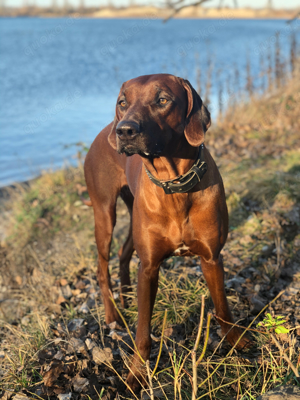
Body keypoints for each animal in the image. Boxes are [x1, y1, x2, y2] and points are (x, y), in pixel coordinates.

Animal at [84, 73, 248, 390]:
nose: (124, 131)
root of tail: (102, 133)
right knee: (101, 267)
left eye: (162, 100)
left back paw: (126, 296)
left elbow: (222, 309)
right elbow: (143, 332)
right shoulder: (148, 268)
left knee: (124, 252)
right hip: (104, 213)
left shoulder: (211, 258)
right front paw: (137, 374)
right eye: (122, 102)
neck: (175, 184)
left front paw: (236, 343)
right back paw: (113, 315)